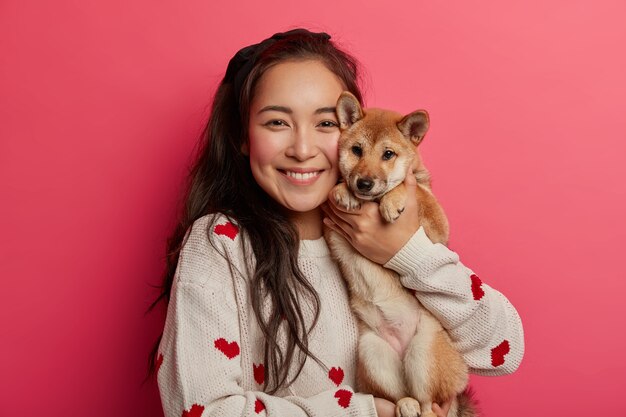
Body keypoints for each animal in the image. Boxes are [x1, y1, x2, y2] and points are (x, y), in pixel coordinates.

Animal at [324, 92, 476, 416]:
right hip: (373, 353)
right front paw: (343, 190)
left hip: (425, 352)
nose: (364, 183)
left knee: (429, 403)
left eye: (388, 154)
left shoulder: (438, 228)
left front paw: (392, 200)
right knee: (401, 395)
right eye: (357, 150)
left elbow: (415, 190)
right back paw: (405, 405)